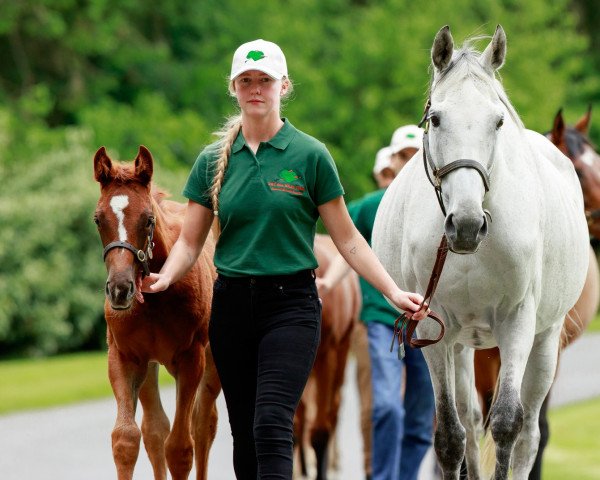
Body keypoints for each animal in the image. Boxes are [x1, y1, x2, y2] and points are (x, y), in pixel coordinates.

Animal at [91, 146, 218, 480]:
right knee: (154, 429)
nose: (120, 289)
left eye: (148, 220)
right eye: (98, 219)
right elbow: (126, 439)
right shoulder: (124, 357)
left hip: (212, 363)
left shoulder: (190, 360)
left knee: (203, 425)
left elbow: (180, 448)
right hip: (149, 366)